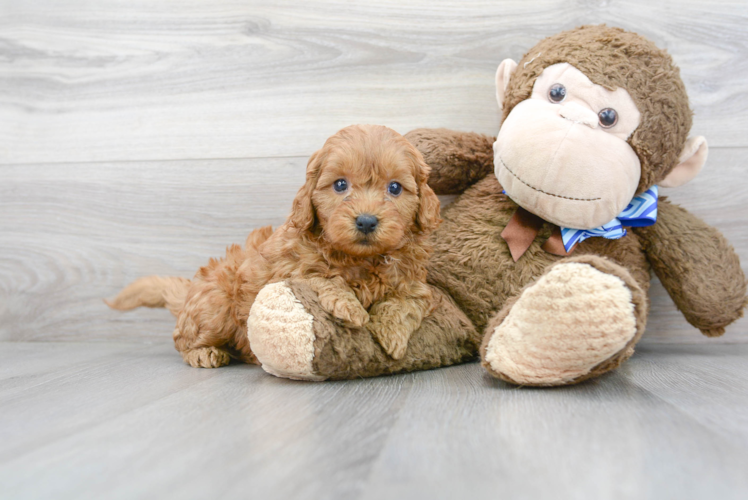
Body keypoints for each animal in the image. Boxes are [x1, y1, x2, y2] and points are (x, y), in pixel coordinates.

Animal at [108, 125, 442, 368]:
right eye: (340, 185)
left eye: (395, 188)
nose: (366, 221)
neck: (362, 259)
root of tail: (193, 287)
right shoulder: (288, 271)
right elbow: (321, 277)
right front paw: (351, 307)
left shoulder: (416, 282)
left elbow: (407, 301)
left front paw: (392, 335)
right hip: (216, 306)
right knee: (182, 338)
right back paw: (203, 353)